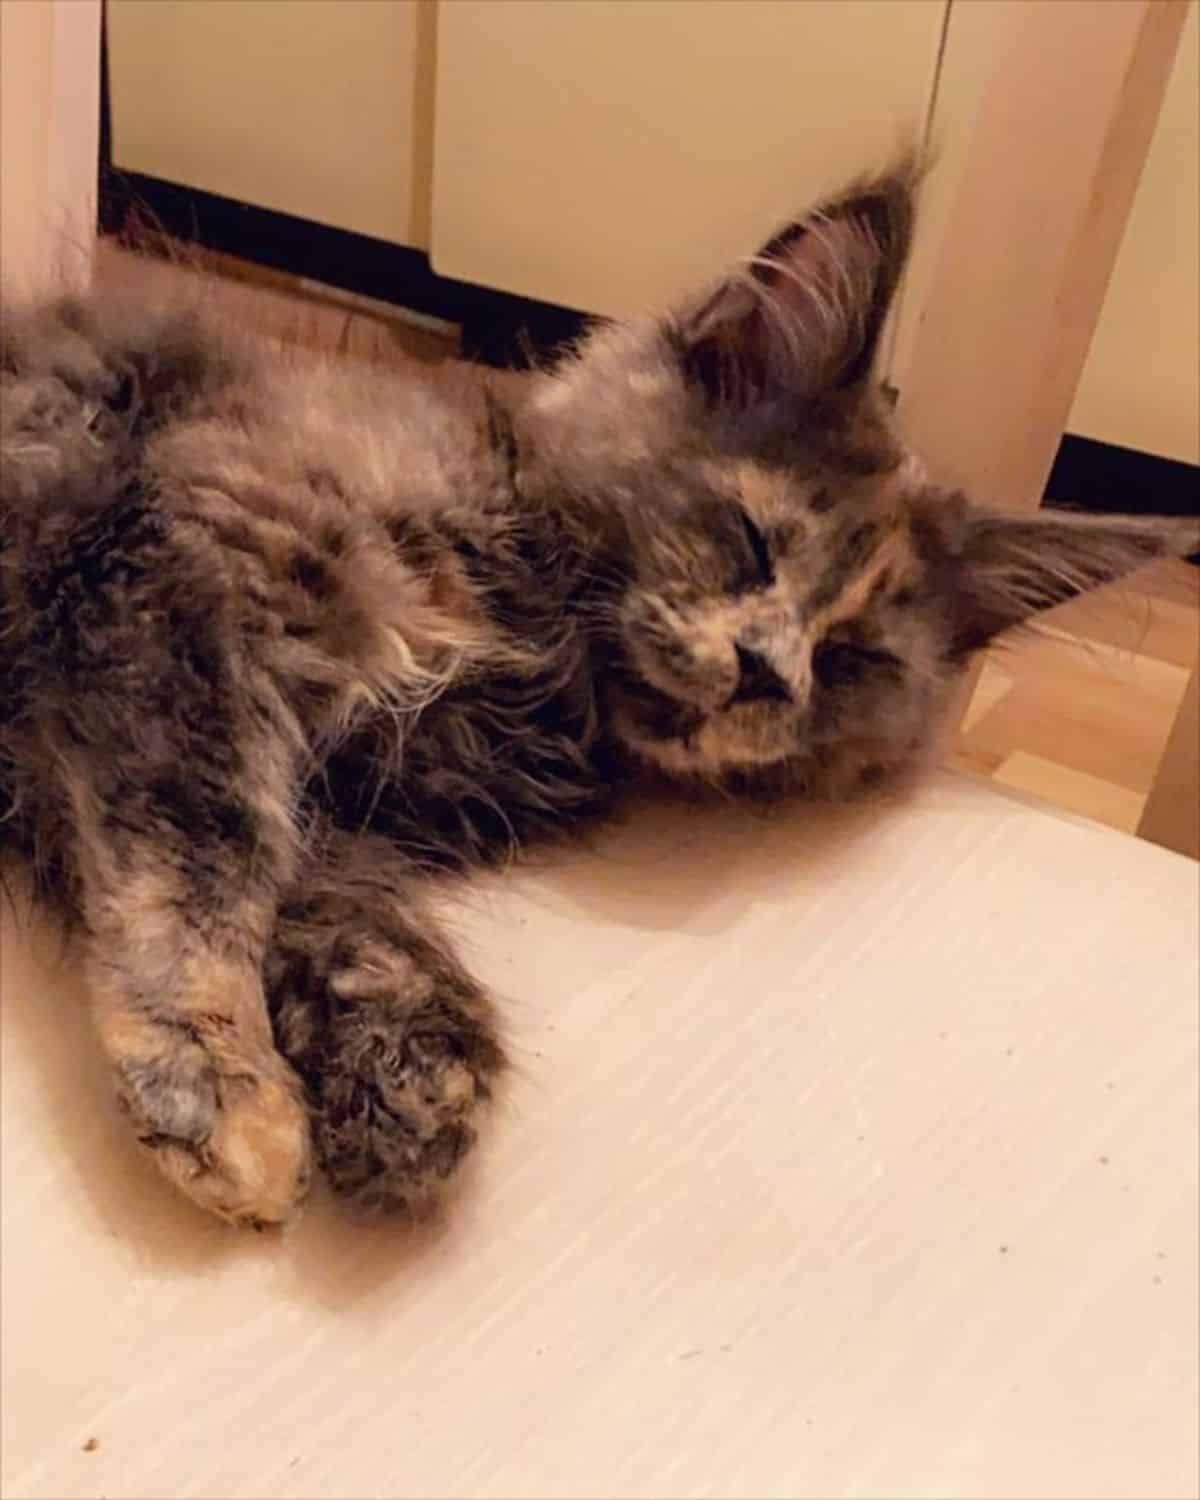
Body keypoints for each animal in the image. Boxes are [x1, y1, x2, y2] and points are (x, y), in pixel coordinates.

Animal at [4, 158, 1194, 1224]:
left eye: (853, 656)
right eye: (748, 541)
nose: (766, 671)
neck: (532, 632)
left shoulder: (338, 788)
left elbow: (335, 899)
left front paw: (413, 1065)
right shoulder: (181, 565)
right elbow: (203, 855)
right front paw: (220, 1085)